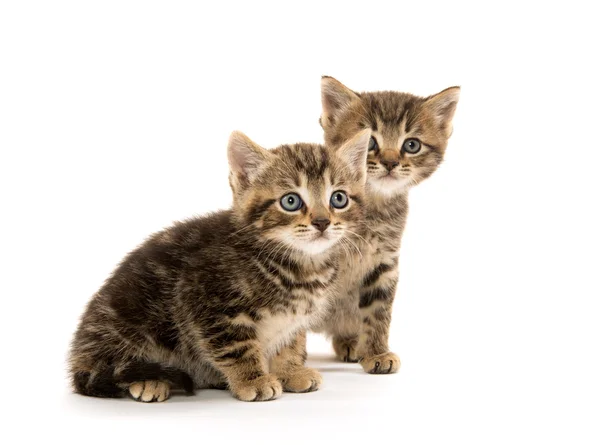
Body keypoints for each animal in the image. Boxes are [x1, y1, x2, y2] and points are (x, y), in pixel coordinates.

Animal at [69, 129, 370, 402]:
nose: (322, 222)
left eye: (338, 198)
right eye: (291, 201)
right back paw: (148, 381)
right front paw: (253, 380)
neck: (298, 266)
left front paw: (290, 371)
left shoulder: (294, 319)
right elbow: (236, 346)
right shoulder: (206, 301)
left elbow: (291, 342)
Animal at [314, 78, 460, 372]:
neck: (373, 211)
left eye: (412, 145)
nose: (391, 162)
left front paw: (377, 352)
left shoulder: (384, 262)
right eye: (370, 141)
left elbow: (379, 312)